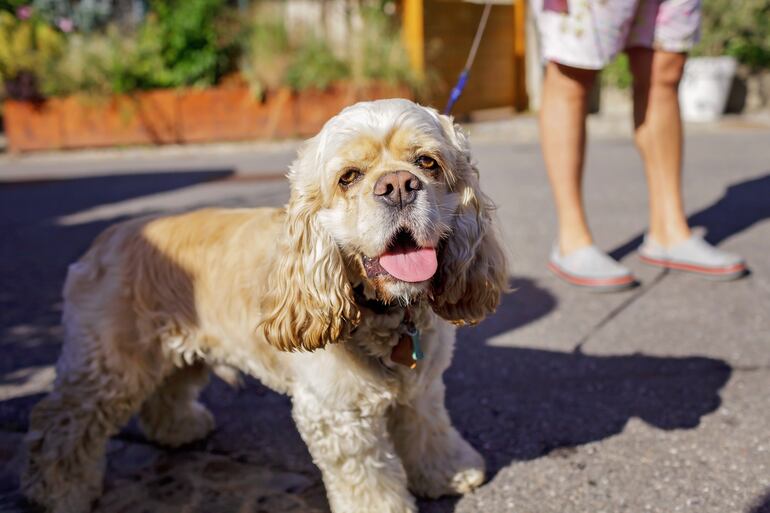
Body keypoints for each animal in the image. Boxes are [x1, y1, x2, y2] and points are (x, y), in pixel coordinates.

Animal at [21, 99, 508, 512]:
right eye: (348, 176)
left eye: (427, 163)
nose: (399, 186)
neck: (388, 310)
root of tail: (105, 239)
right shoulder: (336, 414)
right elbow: (368, 478)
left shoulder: (423, 388)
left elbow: (430, 430)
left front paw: (449, 473)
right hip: (110, 368)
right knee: (58, 422)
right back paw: (58, 492)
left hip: (179, 347)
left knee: (168, 388)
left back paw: (179, 429)